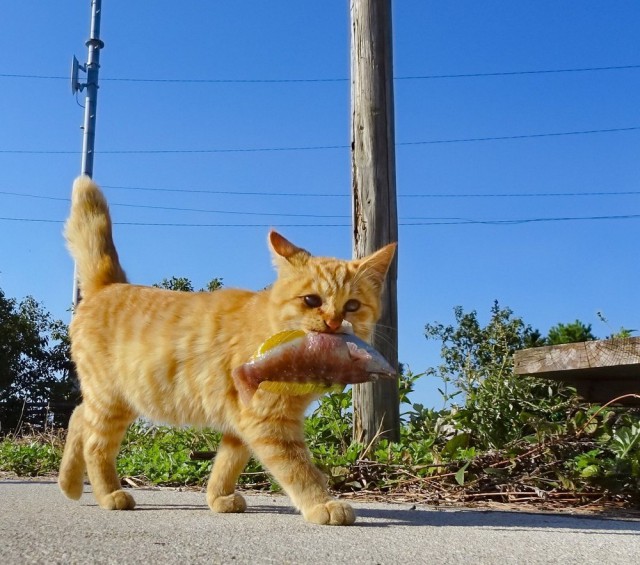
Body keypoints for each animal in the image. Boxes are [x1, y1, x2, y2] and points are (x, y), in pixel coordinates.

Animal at [60, 176, 398, 524]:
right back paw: (108, 494)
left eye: (353, 306)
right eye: (311, 300)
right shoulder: (268, 422)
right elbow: (299, 470)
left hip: (120, 399)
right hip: (111, 400)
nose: (333, 322)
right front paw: (322, 504)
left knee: (77, 417)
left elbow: (228, 462)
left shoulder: (243, 422)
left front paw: (218, 497)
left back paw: (69, 484)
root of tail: (109, 285)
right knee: (94, 444)